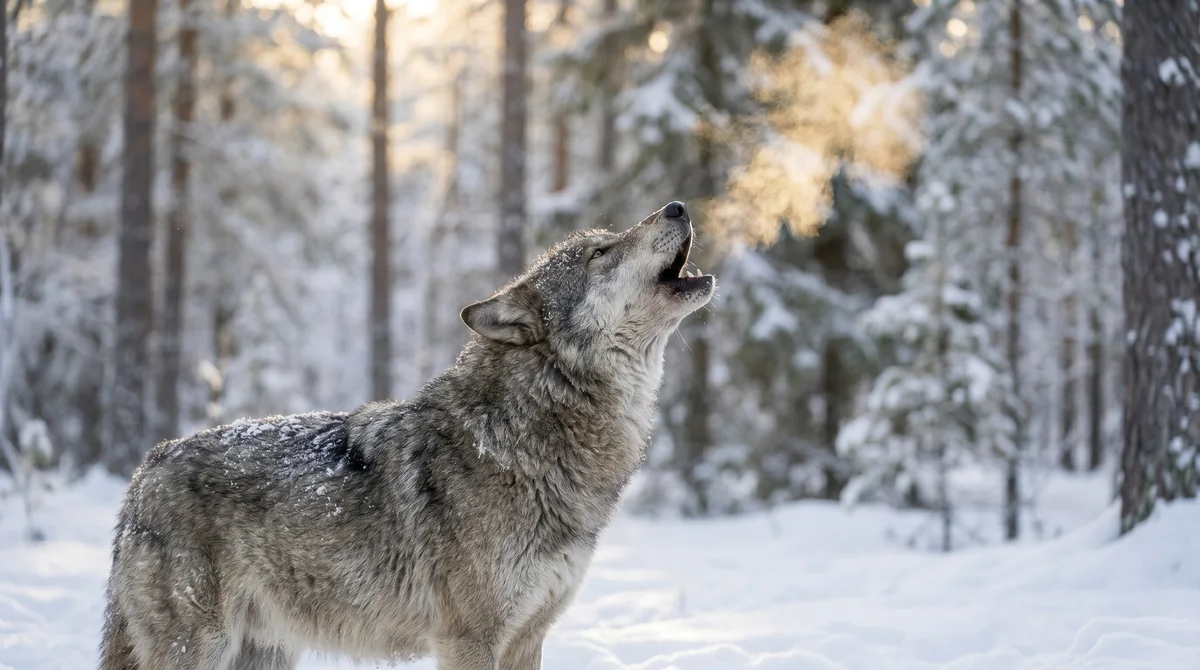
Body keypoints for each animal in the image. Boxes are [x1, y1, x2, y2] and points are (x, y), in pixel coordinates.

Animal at [99, 201, 715, 669]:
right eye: (600, 253)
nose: (678, 205)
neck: (525, 435)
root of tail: (145, 470)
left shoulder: (528, 638)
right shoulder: (469, 640)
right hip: (200, 648)